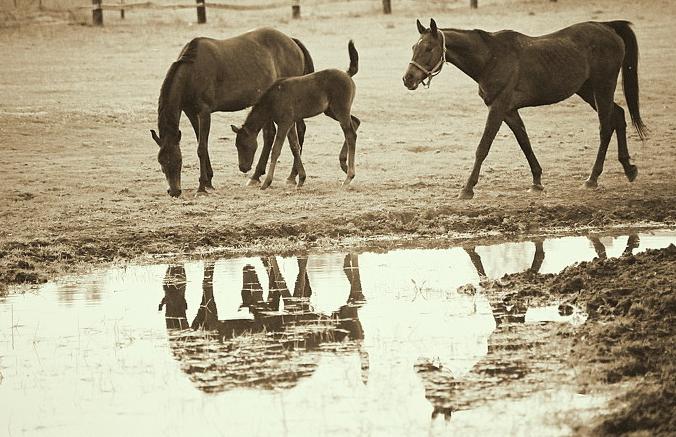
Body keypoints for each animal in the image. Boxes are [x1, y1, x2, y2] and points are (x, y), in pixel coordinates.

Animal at [151, 28, 314, 197]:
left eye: (179, 161)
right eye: (161, 162)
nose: (174, 191)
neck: (192, 71)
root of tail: (292, 41)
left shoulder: (204, 112)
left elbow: (201, 148)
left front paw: (202, 187)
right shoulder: (191, 112)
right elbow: (202, 144)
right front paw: (209, 181)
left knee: (295, 132)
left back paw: (291, 176)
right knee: (271, 134)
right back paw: (258, 176)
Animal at [230, 40, 362, 189]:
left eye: (243, 145)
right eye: (237, 145)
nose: (243, 168)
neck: (273, 98)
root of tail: (347, 74)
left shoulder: (284, 122)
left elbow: (276, 150)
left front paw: (267, 182)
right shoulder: (290, 122)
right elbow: (294, 146)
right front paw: (301, 179)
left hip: (341, 110)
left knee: (350, 135)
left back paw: (349, 176)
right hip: (331, 111)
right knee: (355, 122)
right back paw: (344, 164)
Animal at [404, 18, 648, 198]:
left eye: (428, 48)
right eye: (414, 47)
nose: (408, 79)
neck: (491, 57)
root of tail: (607, 26)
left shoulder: (498, 108)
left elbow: (483, 147)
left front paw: (467, 188)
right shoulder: (509, 111)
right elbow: (524, 142)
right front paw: (537, 181)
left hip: (602, 87)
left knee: (606, 127)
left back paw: (593, 178)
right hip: (588, 90)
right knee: (618, 116)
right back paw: (628, 168)